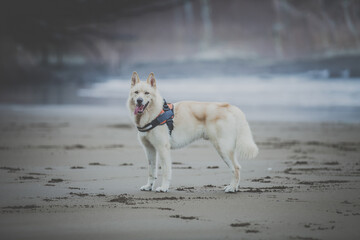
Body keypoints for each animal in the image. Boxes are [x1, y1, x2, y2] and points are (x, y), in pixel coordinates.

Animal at [128, 71, 258, 193]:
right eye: (136, 92)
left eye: (147, 93)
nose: (139, 100)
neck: (153, 114)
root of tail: (229, 107)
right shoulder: (149, 149)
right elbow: (151, 171)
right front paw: (149, 186)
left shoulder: (163, 148)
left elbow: (165, 171)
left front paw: (164, 187)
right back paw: (233, 187)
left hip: (223, 149)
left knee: (236, 168)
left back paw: (232, 188)